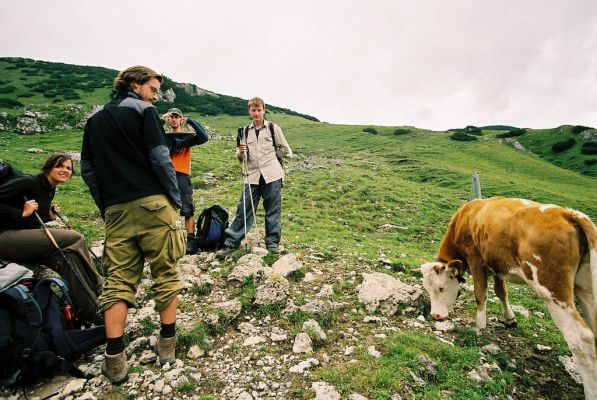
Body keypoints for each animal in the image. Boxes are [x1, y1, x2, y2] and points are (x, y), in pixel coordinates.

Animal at [414, 196, 596, 396]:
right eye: (427, 288)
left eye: (441, 287)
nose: (435, 315)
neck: (465, 217)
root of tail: (570, 214)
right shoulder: (497, 265)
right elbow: (501, 291)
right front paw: (510, 318)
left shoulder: (476, 258)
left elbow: (481, 292)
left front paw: (479, 326)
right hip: (585, 288)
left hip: (552, 288)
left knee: (581, 339)